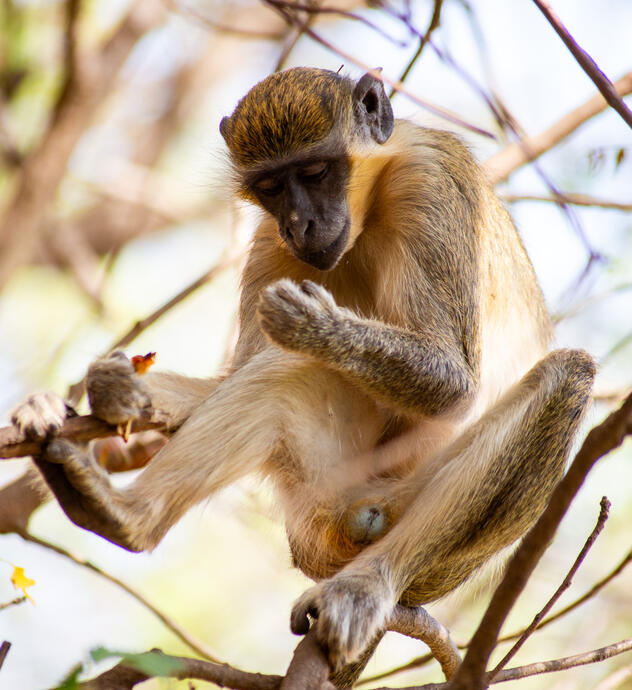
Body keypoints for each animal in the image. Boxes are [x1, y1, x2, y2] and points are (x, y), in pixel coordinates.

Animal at [11, 67, 595, 671]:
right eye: (271, 187)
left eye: (315, 172)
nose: (301, 222)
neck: (372, 202)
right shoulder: (269, 241)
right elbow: (234, 377)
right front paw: (107, 387)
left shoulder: (432, 184)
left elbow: (455, 383)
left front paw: (317, 327)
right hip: (322, 487)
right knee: (279, 378)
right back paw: (124, 513)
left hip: (409, 521)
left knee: (567, 376)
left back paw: (369, 583)